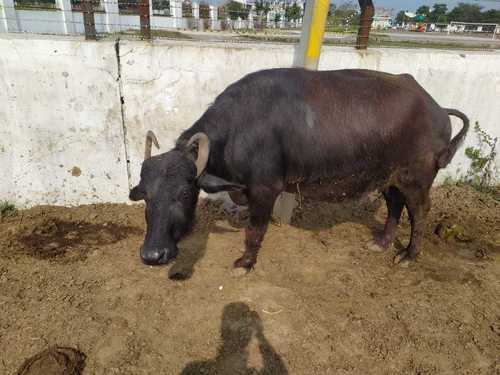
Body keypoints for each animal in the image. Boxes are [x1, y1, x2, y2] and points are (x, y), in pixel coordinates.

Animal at [129, 68, 468, 270]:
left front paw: (245, 262)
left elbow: (255, 230)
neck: (240, 130)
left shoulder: (265, 190)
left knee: (420, 212)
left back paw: (408, 255)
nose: (153, 255)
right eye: (146, 196)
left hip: (416, 178)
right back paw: (381, 243)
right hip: (388, 177)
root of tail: (436, 108)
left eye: (186, 194)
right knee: (395, 205)